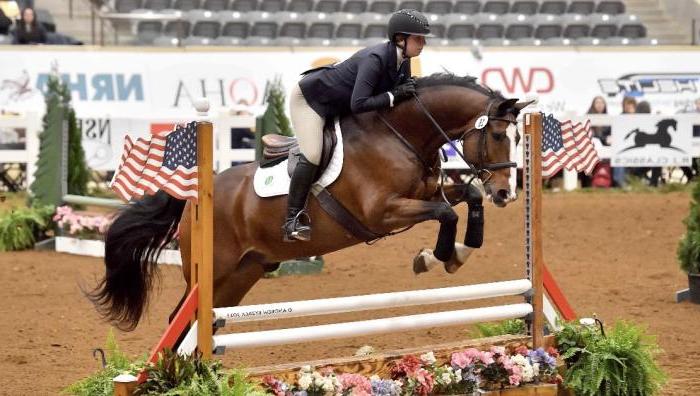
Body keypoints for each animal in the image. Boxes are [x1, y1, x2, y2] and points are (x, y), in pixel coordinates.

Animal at [87, 73, 532, 332]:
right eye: (497, 136)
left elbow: (466, 197)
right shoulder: (381, 211)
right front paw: (435, 257)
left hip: (246, 272)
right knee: (180, 320)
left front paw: (459, 252)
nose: (506, 193)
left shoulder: (425, 193)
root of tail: (194, 199)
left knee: (207, 322)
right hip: (213, 270)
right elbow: (444, 214)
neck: (401, 133)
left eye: (519, 137)